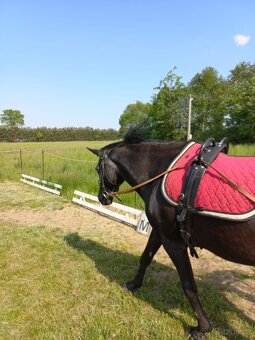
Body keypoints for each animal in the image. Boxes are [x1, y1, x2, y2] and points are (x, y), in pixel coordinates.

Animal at [87, 131, 253, 340]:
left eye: (97, 169)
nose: (102, 198)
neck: (161, 172)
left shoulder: (173, 242)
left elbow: (188, 284)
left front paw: (202, 327)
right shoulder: (160, 232)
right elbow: (145, 258)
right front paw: (134, 284)